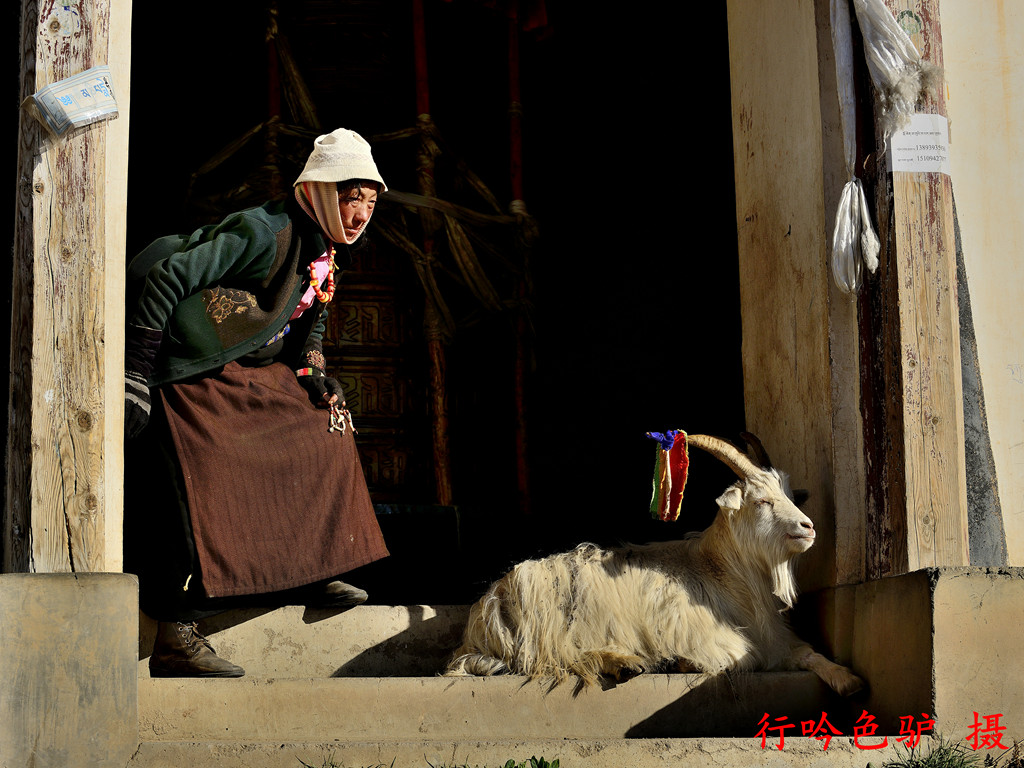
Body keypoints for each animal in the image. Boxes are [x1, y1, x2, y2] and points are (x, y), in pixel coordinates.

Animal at [446, 434, 864, 696]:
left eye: (790, 496)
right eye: (761, 501)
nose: (808, 528)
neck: (720, 570)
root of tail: (488, 608)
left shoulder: (774, 638)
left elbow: (806, 652)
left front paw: (848, 680)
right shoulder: (708, 633)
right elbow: (735, 658)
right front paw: (682, 661)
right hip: (554, 622)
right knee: (558, 656)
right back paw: (627, 662)